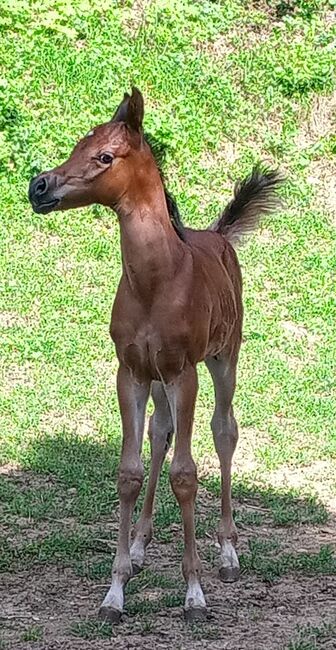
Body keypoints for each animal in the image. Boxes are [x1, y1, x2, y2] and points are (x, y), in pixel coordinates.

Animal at [28, 87, 282, 624]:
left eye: (105, 156)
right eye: (79, 145)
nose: (40, 186)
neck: (156, 280)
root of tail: (219, 235)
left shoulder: (185, 372)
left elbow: (185, 475)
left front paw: (194, 593)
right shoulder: (132, 372)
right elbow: (130, 472)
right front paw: (115, 590)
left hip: (224, 359)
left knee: (224, 431)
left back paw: (228, 553)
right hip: (161, 380)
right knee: (161, 432)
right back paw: (142, 546)